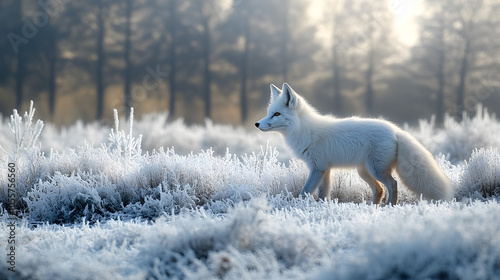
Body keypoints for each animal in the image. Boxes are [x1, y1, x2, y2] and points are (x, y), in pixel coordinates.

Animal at [256, 82, 452, 205]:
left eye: (277, 114)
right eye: (269, 113)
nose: (257, 124)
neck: (304, 131)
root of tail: (395, 130)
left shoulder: (317, 168)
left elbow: (304, 192)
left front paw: (297, 207)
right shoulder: (325, 169)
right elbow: (323, 194)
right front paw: (321, 208)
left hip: (376, 170)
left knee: (393, 184)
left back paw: (390, 206)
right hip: (364, 171)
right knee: (379, 189)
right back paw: (373, 208)